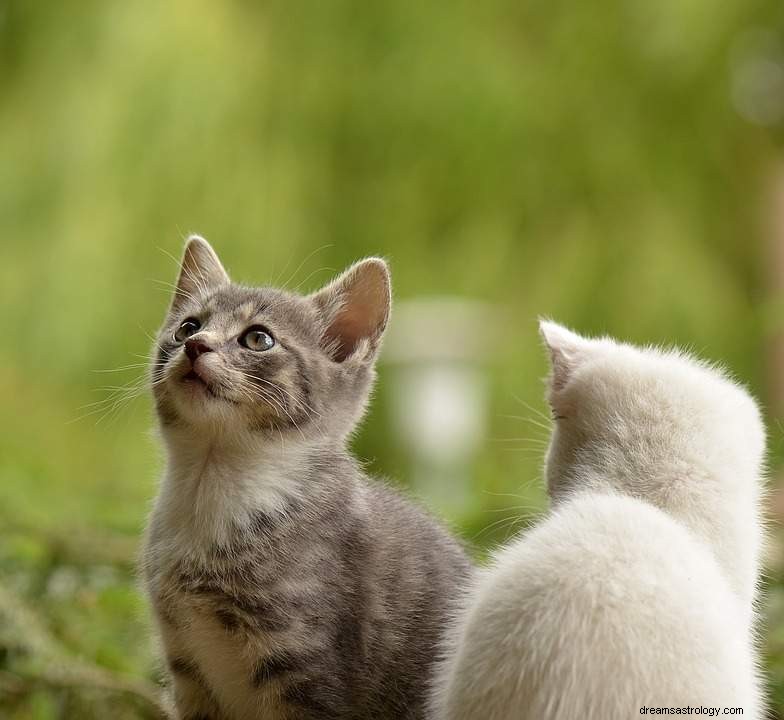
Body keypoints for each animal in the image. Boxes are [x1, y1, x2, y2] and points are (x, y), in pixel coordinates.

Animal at [140, 236, 472, 720]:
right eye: (187, 326)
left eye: (258, 338)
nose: (196, 345)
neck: (213, 486)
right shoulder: (188, 669)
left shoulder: (307, 670)